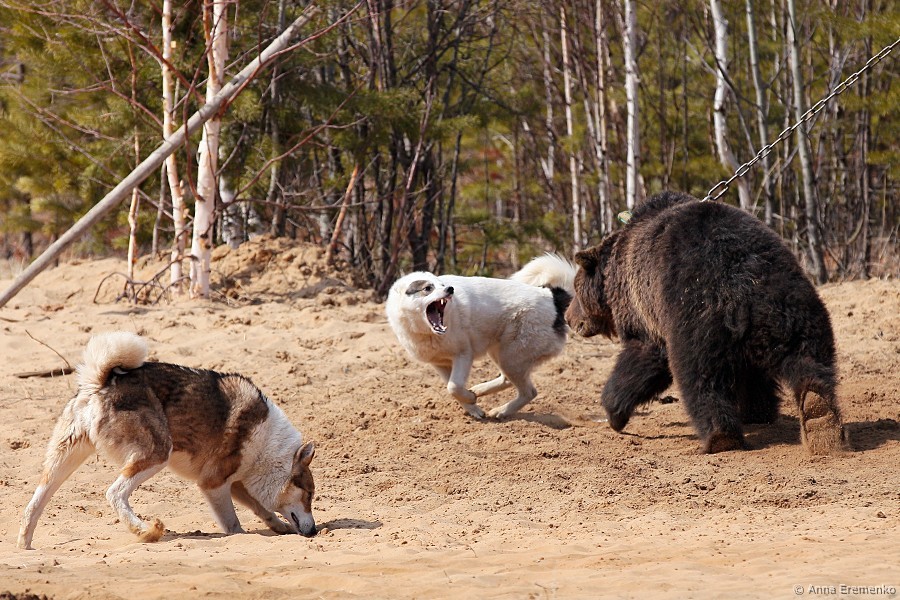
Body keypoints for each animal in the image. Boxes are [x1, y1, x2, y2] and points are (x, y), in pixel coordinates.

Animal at [17, 331, 317, 549]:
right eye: (310, 494)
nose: (314, 531)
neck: (269, 448)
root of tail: (100, 381)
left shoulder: (233, 484)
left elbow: (262, 509)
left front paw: (279, 527)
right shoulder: (213, 484)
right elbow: (233, 525)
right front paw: (242, 536)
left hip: (62, 462)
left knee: (34, 504)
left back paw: (25, 545)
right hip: (156, 456)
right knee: (115, 493)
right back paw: (145, 530)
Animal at [385, 254, 575, 419]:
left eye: (442, 284)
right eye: (427, 288)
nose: (450, 289)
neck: (428, 332)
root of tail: (552, 298)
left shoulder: (463, 355)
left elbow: (453, 387)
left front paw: (471, 400)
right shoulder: (440, 364)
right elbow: (452, 388)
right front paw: (473, 407)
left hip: (512, 356)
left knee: (529, 392)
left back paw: (501, 411)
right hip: (503, 354)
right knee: (507, 380)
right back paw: (480, 390)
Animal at [565, 191, 848, 454]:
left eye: (575, 288)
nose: (569, 318)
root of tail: (746, 280)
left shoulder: (645, 311)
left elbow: (643, 359)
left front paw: (613, 411)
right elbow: (754, 378)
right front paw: (758, 413)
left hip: (698, 320)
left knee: (700, 377)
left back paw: (721, 437)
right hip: (796, 311)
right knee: (811, 362)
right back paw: (820, 416)